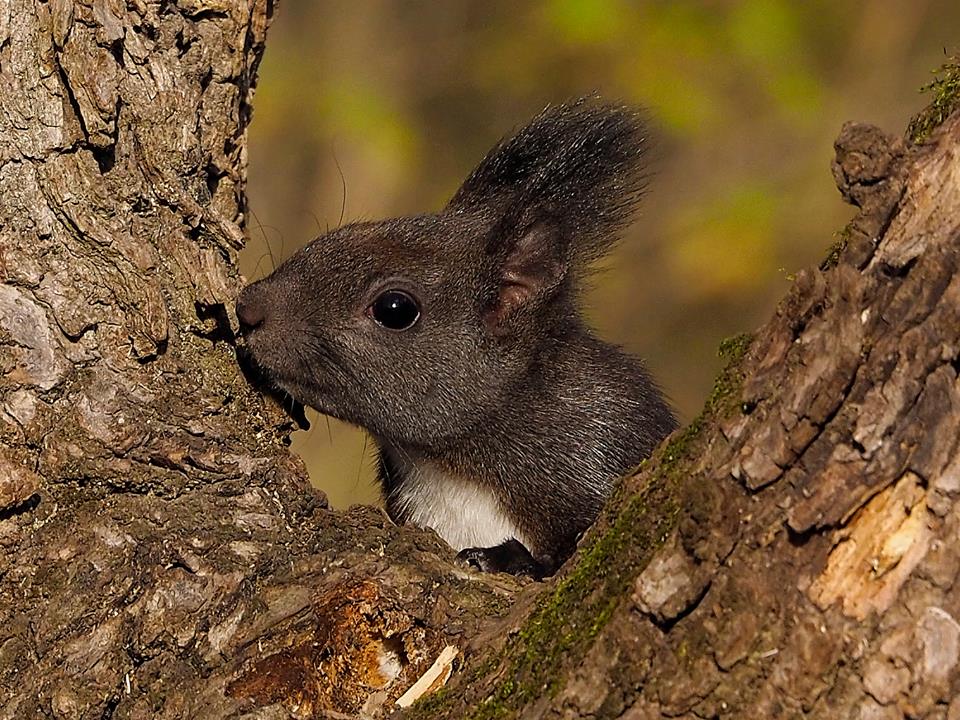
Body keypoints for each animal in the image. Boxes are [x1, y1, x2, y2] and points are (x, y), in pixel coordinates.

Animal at [237, 98, 680, 580]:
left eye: (395, 309)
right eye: (331, 238)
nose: (247, 308)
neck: (448, 464)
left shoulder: (603, 440)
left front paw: (505, 558)